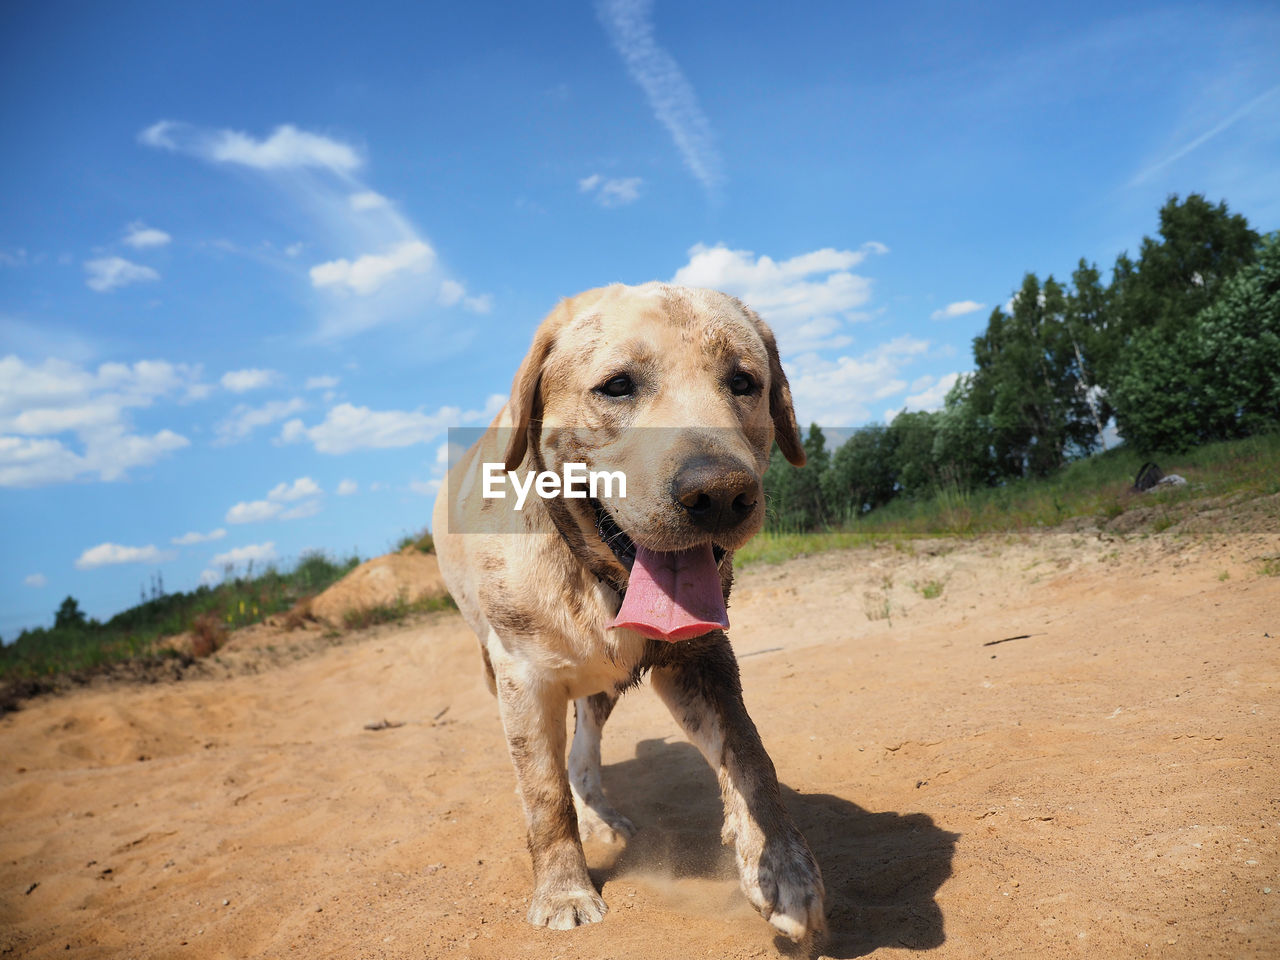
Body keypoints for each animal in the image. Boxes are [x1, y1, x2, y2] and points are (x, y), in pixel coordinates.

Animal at [435, 281, 824, 942]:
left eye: (744, 381)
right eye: (617, 385)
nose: (719, 494)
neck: (595, 579)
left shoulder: (699, 656)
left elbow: (749, 755)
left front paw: (780, 865)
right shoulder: (522, 676)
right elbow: (544, 796)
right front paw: (564, 892)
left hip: (603, 688)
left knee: (584, 751)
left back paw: (603, 812)